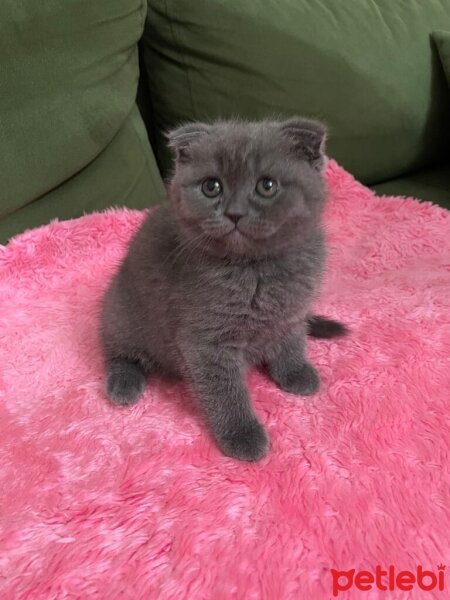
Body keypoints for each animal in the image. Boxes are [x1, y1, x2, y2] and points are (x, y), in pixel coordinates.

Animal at [101, 119, 348, 462]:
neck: (256, 270)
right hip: (122, 313)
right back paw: (124, 383)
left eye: (267, 186)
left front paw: (296, 372)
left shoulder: (293, 312)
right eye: (211, 187)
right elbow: (224, 390)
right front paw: (242, 434)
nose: (234, 212)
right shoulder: (205, 340)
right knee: (118, 352)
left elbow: (291, 343)